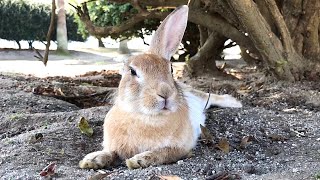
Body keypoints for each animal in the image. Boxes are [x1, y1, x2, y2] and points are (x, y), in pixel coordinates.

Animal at [79, 4, 241, 170]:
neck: (146, 116)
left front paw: (138, 160)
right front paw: (91, 160)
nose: (165, 93)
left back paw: (234, 102)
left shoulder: (179, 148)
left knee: (210, 97)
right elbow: (110, 152)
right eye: (132, 71)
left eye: (170, 69)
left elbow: (162, 153)